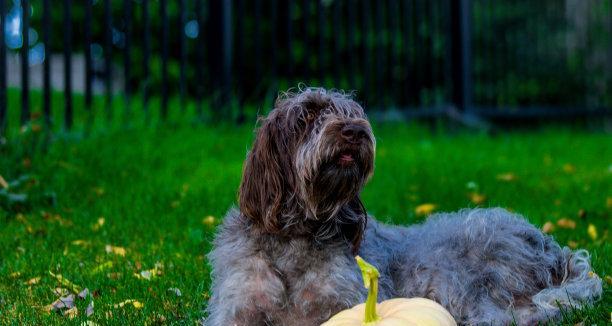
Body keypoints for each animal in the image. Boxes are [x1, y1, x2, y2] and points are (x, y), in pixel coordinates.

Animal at [206, 88, 604, 324]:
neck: (295, 235)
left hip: (456, 272)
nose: (354, 130)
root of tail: (551, 248)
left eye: (350, 110)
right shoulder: (236, 308)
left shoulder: (345, 302)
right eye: (309, 115)